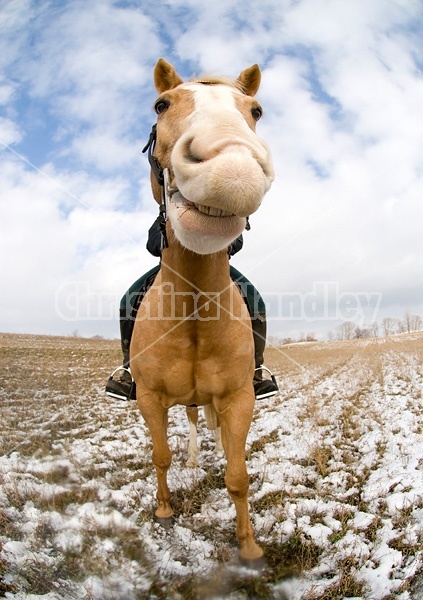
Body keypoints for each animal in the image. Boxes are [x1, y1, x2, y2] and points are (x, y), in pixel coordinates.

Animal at [132, 58, 274, 564]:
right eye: (161, 104)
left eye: (256, 110)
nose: (231, 167)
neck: (193, 310)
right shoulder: (149, 398)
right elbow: (160, 457)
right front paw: (163, 511)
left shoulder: (239, 398)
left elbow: (238, 475)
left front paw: (249, 546)